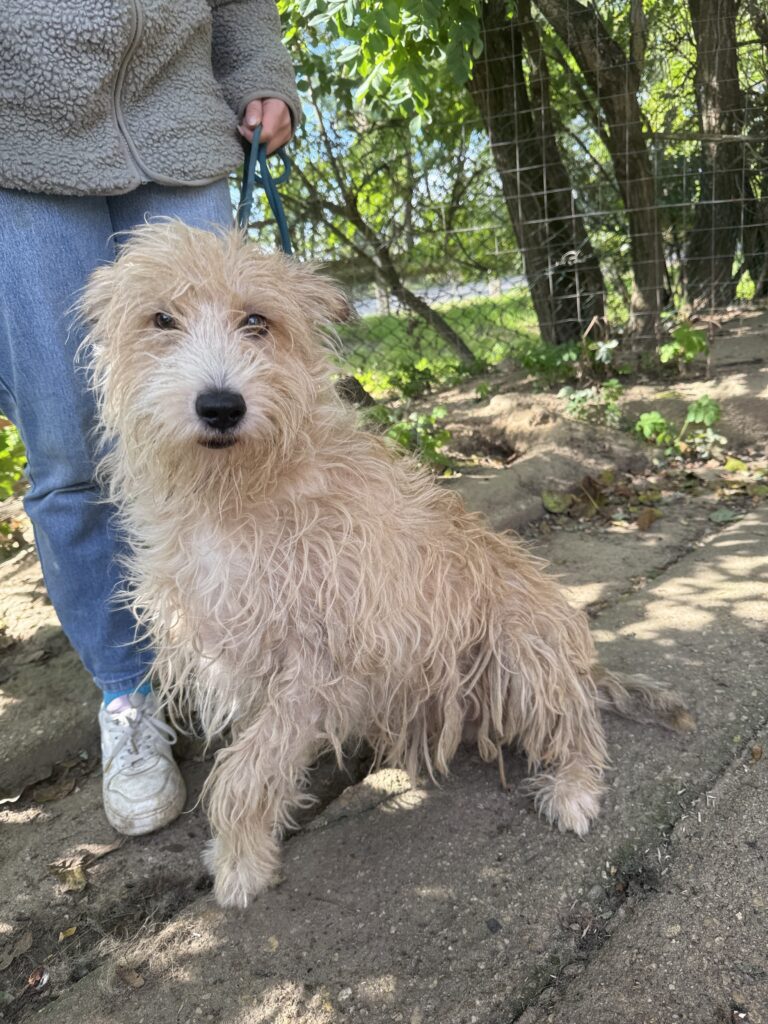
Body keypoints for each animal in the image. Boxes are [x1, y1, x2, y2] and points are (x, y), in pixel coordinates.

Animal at [79, 221, 693, 908]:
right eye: (161, 319)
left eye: (256, 321)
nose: (220, 406)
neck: (238, 490)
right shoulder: (244, 656)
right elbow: (260, 760)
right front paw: (247, 848)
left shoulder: (319, 657)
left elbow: (244, 772)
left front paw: (241, 863)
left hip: (521, 650)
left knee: (577, 723)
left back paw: (575, 786)